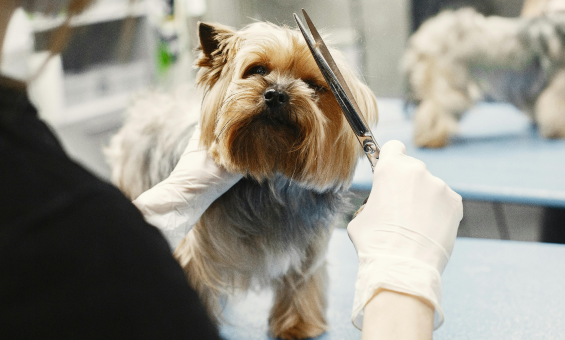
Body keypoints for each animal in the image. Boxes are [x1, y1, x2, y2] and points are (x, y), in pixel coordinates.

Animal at [107, 21, 378, 340]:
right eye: (257, 70)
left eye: (313, 85)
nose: (276, 94)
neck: (269, 177)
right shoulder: (194, 247)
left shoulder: (308, 245)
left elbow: (301, 280)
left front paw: (298, 325)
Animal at [398, 8, 564, 147]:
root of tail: (423, 39)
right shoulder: (557, 87)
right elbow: (555, 110)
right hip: (451, 87)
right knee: (435, 110)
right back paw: (432, 138)